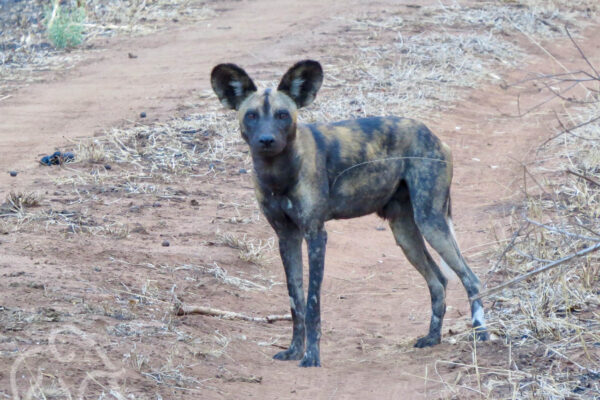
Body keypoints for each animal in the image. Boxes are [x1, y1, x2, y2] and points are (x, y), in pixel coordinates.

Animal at [211, 60, 488, 368]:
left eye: (282, 115)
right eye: (251, 116)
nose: (267, 140)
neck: (278, 173)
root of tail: (435, 137)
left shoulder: (315, 235)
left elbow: (312, 303)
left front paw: (311, 357)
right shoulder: (287, 237)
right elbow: (295, 300)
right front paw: (294, 350)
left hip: (431, 223)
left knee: (471, 279)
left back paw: (481, 335)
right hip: (405, 232)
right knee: (438, 281)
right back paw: (432, 338)